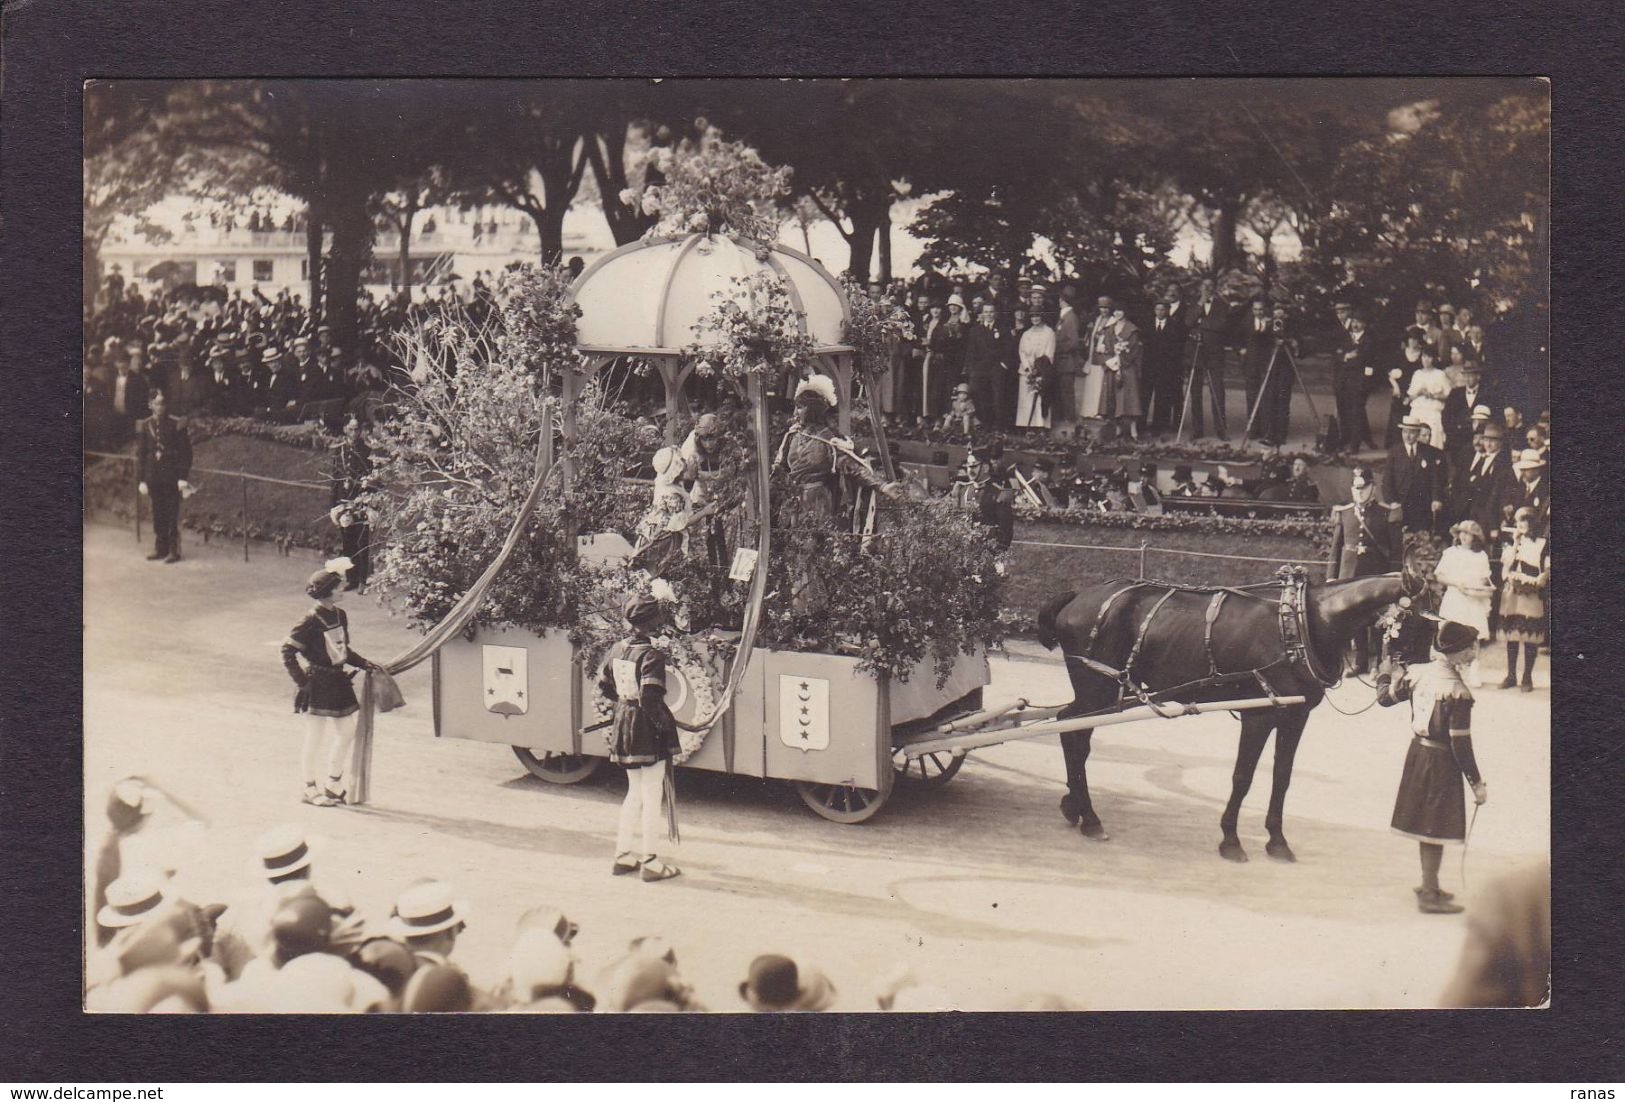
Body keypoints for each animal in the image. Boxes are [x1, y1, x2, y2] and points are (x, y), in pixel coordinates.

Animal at [1033, 568, 1430, 864]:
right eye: (1426, 618)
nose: (1408, 684)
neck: (1301, 623)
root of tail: (1077, 596)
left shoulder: (1294, 715)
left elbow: (1282, 778)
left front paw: (1277, 840)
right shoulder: (1259, 715)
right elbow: (1243, 777)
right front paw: (1231, 839)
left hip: (1095, 694)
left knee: (1070, 729)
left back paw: (1075, 807)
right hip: (1096, 688)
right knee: (1074, 735)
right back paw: (1089, 816)